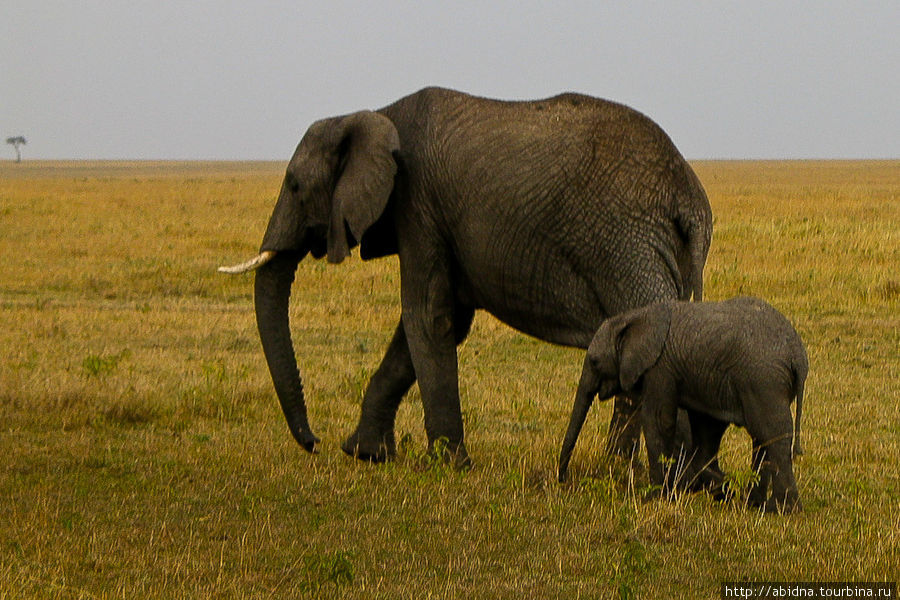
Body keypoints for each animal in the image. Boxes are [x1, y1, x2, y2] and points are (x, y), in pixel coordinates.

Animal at [218, 86, 712, 466]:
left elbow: (427, 317)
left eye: (295, 185)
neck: (377, 113)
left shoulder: (418, 205)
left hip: (626, 246)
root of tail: (689, 201)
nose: (313, 443)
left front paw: (446, 466)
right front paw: (367, 455)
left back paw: (644, 476)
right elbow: (430, 327)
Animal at [560, 298, 804, 512]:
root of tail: (799, 356)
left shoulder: (659, 368)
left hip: (763, 381)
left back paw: (780, 509)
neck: (633, 317)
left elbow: (658, 421)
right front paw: (717, 486)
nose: (563, 481)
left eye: (594, 362)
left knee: (773, 436)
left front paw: (655, 498)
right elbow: (705, 428)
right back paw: (753, 504)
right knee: (760, 439)